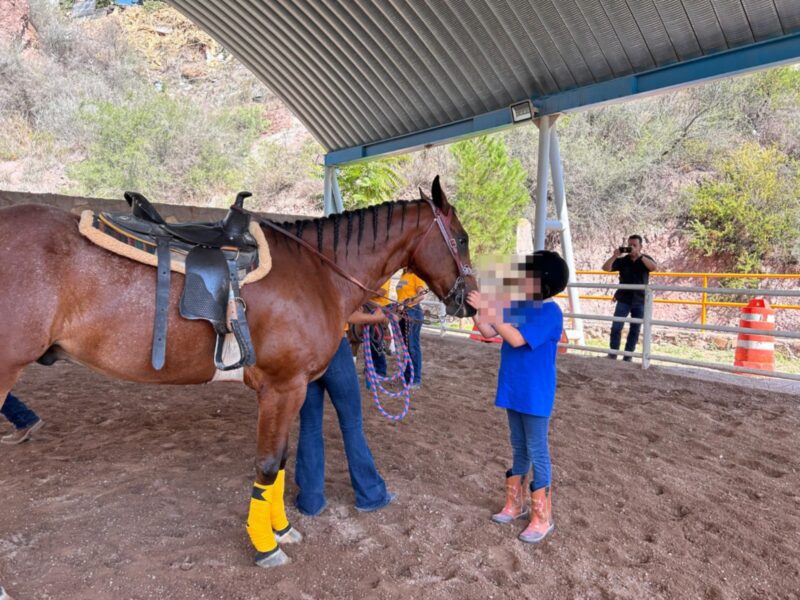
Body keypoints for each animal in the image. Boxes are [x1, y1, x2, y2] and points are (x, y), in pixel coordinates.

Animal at [0, 176, 477, 568]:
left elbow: (281, 462)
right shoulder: (281, 388)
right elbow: (266, 466)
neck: (316, 270)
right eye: (462, 238)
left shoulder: (295, 389)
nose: (469, 303)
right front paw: (265, 546)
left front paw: (283, 529)